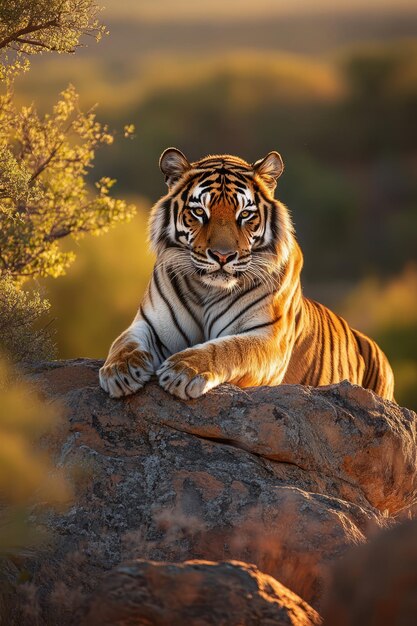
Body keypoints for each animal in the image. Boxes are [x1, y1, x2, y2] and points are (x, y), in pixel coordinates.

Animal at [97, 147, 394, 400]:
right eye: (199, 211)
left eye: (245, 214)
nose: (222, 256)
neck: (208, 290)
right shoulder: (151, 324)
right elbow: (123, 342)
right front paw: (119, 372)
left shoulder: (269, 338)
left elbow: (228, 349)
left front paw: (183, 370)